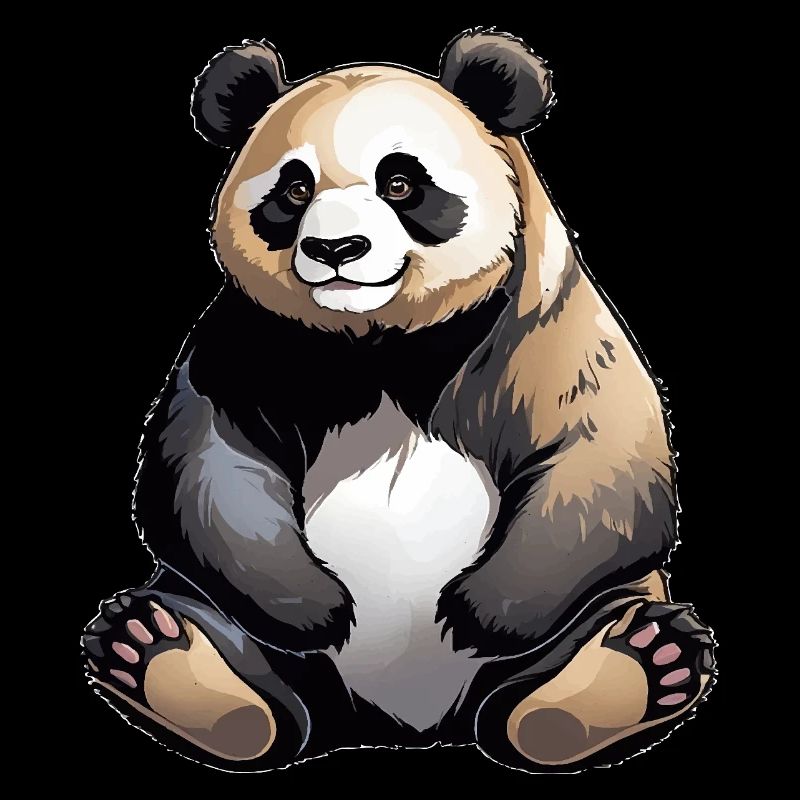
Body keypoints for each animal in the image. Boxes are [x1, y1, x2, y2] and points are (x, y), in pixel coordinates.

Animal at [82, 29, 716, 773]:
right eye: (294, 187)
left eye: (401, 182)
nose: (335, 248)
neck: (381, 344)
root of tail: (398, 725)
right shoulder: (247, 344)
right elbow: (209, 461)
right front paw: (316, 607)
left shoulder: (544, 331)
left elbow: (602, 459)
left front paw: (477, 613)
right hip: (229, 618)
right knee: (238, 654)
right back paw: (160, 656)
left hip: (608, 601)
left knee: (570, 649)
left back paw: (629, 666)